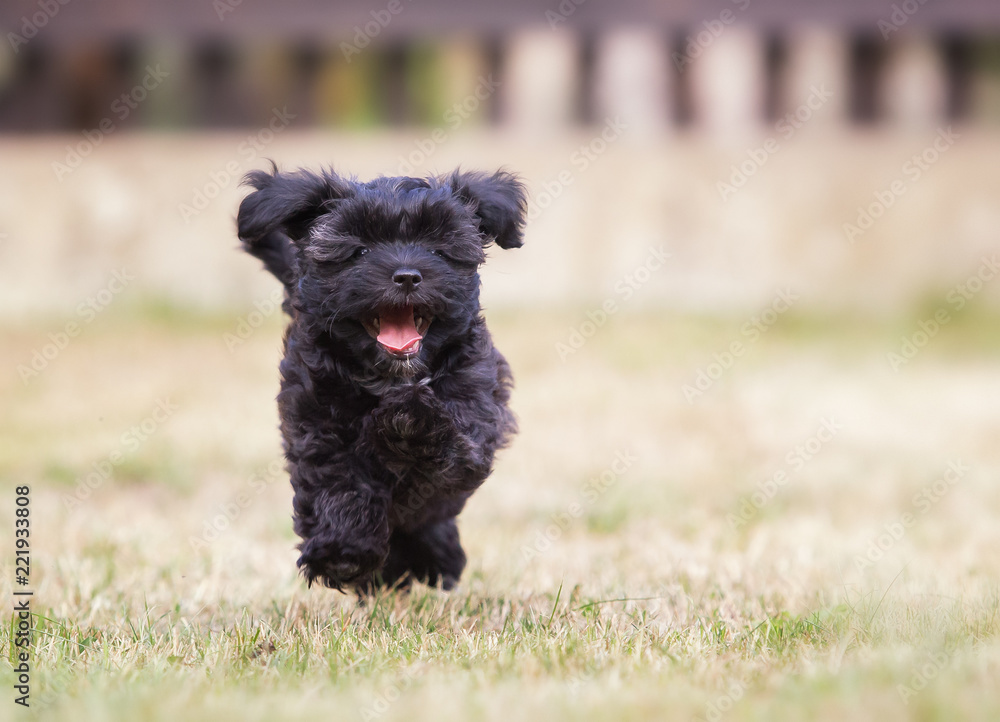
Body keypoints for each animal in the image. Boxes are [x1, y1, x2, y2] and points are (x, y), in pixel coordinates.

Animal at [237, 167, 528, 592]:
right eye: (358, 251)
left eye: (439, 249)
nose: (407, 276)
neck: (389, 379)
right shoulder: (317, 423)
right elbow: (340, 482)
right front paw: (343, 553)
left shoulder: (477, 403)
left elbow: (449, 456)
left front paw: (410, 419)